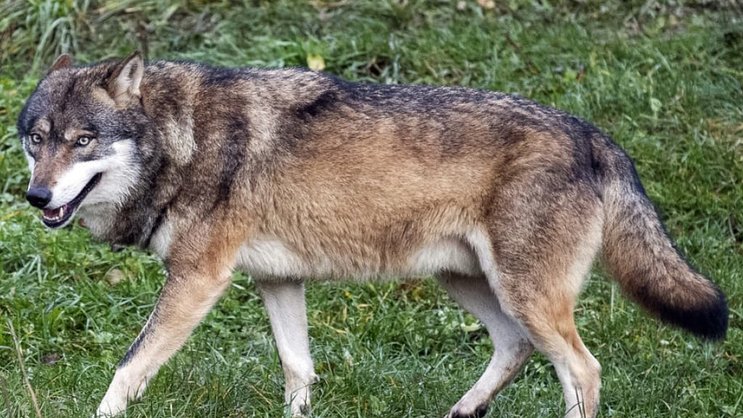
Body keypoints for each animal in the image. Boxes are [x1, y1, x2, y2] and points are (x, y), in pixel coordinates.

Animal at [18, 52, 727, 418]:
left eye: (82, 140)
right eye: (37, 139)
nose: (36, 197)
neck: (180, 141)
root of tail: (596, 134)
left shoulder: (197, 280)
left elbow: (128, 367)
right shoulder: (277, 281)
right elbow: (298, 370)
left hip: (522, 294)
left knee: (582, 368)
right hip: (468, 283)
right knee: (515, 348)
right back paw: (459, 414)